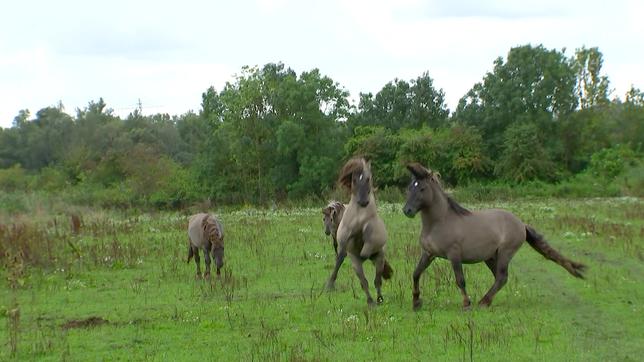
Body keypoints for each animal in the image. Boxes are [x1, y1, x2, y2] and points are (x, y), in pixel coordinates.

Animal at [324, 158, 394, 306]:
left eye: (368, 178)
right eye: (354, 179)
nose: (363, 202)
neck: (359, 217)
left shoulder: (372, 234)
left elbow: (367, 239)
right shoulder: (344, 238)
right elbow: (342, 252)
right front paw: (330, 283)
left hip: (380, 258)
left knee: (377, 280)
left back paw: (379, 299)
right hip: (357, 265)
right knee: (364, 281)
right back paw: (371, 302)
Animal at [406, 163, 588, 310]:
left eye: (422, 188)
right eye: (409, 187)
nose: (407, 210)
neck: (440, 222)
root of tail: (521, 224)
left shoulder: (454, 254)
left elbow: (460, 279)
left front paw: (466, 304)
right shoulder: (429, 253)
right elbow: (416, 273)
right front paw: (416, 302)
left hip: (505, 253)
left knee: (502, 277)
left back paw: (483, 302)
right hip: (491, 257)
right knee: (499, 278)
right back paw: (487, 301)